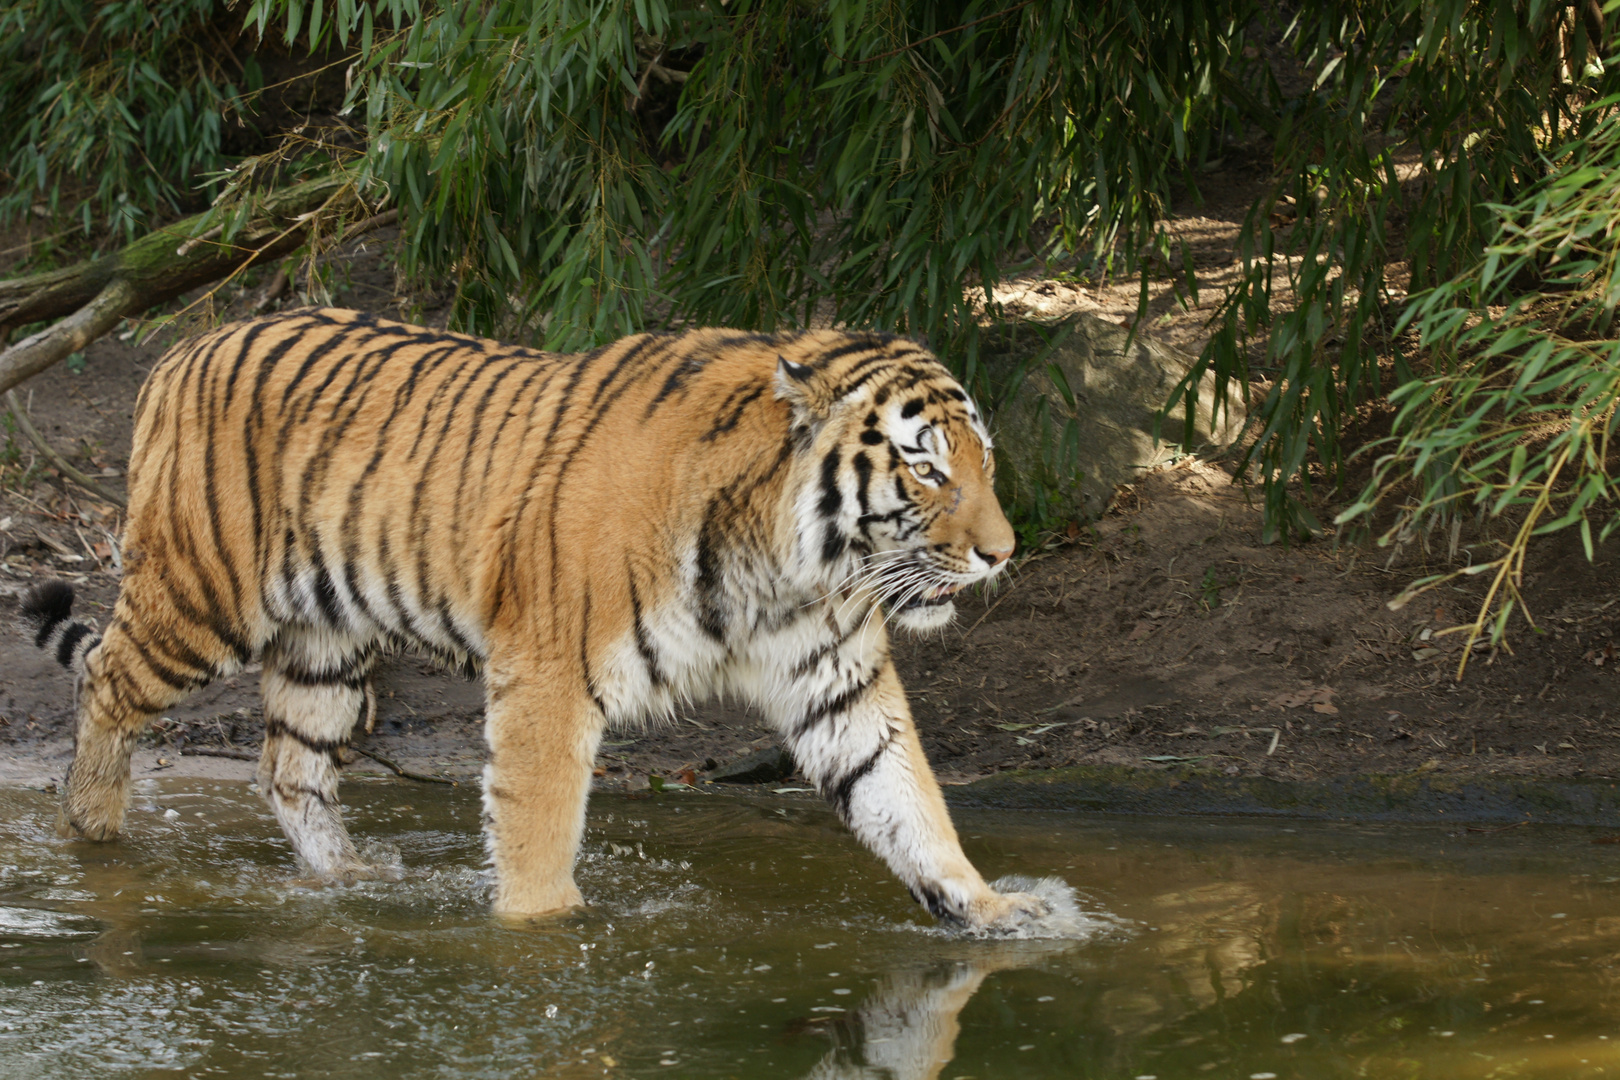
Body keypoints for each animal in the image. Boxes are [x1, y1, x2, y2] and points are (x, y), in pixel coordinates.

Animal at [25, 307, 1056, 932]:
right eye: (927, 468)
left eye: (985, 462)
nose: (1002, 553)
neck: (788, 563)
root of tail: (182, 347)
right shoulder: (550, 676)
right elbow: (538, 824)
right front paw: (541, 936)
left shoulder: (832, 677)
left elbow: (906, 795)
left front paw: (996, 910)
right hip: (202, 600)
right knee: (106, 679)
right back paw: (93, 836)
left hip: (326, 643)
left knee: (288, 767)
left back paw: (350, 881)